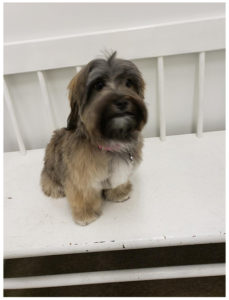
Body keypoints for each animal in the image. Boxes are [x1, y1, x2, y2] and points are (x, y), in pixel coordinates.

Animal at [40, 52, 148, 225]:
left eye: (129, 82)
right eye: (99, 85)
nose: (122, 101)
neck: (111, 141)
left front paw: (119, 193)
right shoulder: (80, 179)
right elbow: (83, 196)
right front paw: (86, 214)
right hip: (51, 172)